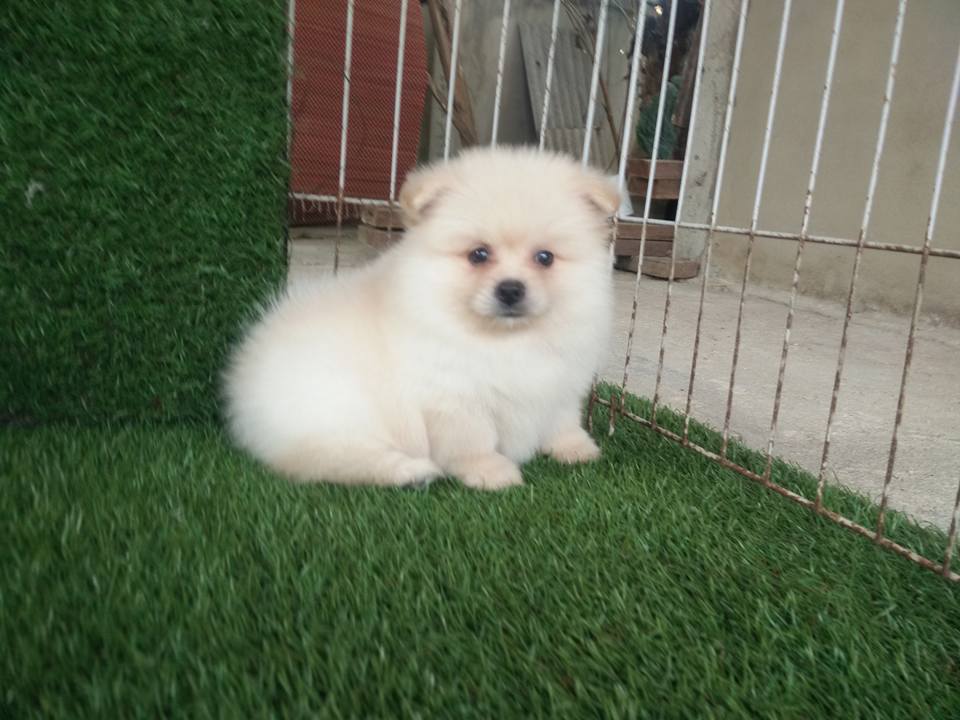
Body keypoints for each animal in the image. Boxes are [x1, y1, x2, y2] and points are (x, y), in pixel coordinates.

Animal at [224, 147, 619, 490]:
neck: (507, 338)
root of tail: (244, 395)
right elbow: (473, 441)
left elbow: (562, 419)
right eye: (478, 254)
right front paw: (490, 472)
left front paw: (575, 447)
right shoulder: (454, 399)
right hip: (337, 413)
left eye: (545, 257)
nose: (510, 289)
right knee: (331, 459)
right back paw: (412, 472)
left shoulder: (560, 383)